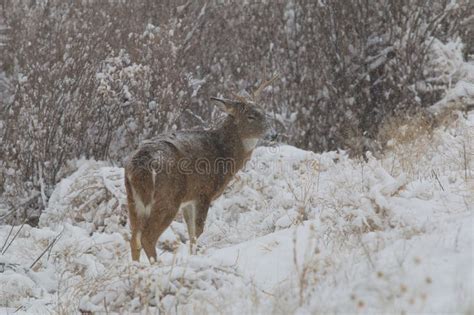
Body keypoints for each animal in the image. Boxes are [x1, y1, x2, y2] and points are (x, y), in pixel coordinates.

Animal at [124, 76, 278, 264]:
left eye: (265, 113)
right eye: (250, 116)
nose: (274, 134)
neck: (223, 152)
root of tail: (141, 165)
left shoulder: (188, 200)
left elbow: (191, 234)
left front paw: (193, 256)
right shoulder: (204, 192)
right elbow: (198, 231)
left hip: (133, 199)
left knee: (134, 238)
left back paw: (136, 267)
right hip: (168, 197)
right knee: (147, 237)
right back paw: (155, 265)